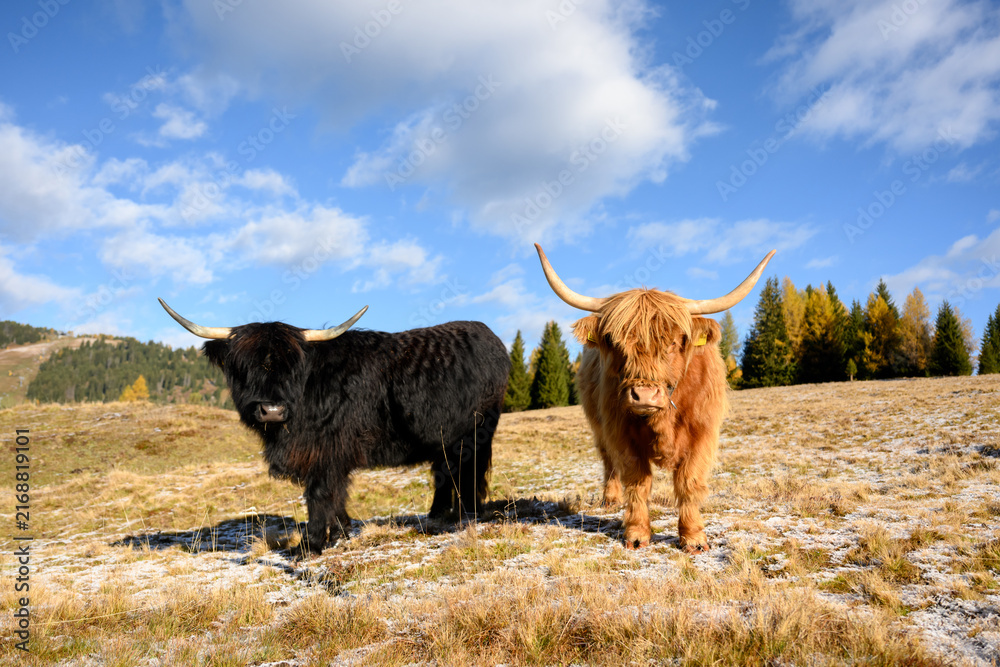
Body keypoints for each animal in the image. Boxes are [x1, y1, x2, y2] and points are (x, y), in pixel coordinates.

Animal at [158, 299, 510, 554]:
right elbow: (337, 495)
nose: (271, 411)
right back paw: (437, 516)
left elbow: (320, 494)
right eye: (245, 366)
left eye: (293, 366)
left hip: (474, 435)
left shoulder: (326, 450)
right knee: (444, 473)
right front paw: (341, 533)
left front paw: (309, 546)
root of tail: (491, 337)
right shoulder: (330, 456)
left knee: (464, 472)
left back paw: (465, 515)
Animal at [534, 244, 775, 553]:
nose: (644, 395)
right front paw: (637, 534)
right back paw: (610, 499)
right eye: (615, 342)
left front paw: (693, 538)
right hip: (599, 427)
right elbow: (638, 482)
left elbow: (688, 482)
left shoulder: (702, 434)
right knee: (608, 461)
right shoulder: (621, 434)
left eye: (673, 342)